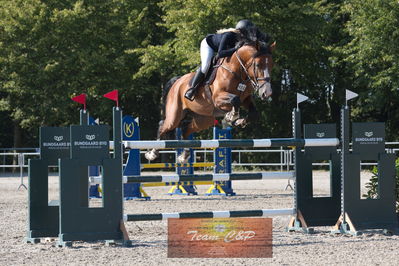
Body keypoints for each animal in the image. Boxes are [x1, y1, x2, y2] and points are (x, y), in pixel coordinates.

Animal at [146, 40, 276, 163]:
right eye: (258, 65)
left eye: (271, 65)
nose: (267, 93)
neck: (237, 72)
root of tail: (177, 81)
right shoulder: (217, 98)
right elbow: (235, 99)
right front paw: (231, 117)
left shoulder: (246, 99)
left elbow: (253, 113)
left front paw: (239, 121)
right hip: (175, 115)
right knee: (163, 125)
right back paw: (152, 153)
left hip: (203, 119)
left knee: (186, 129)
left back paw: (184, 156)